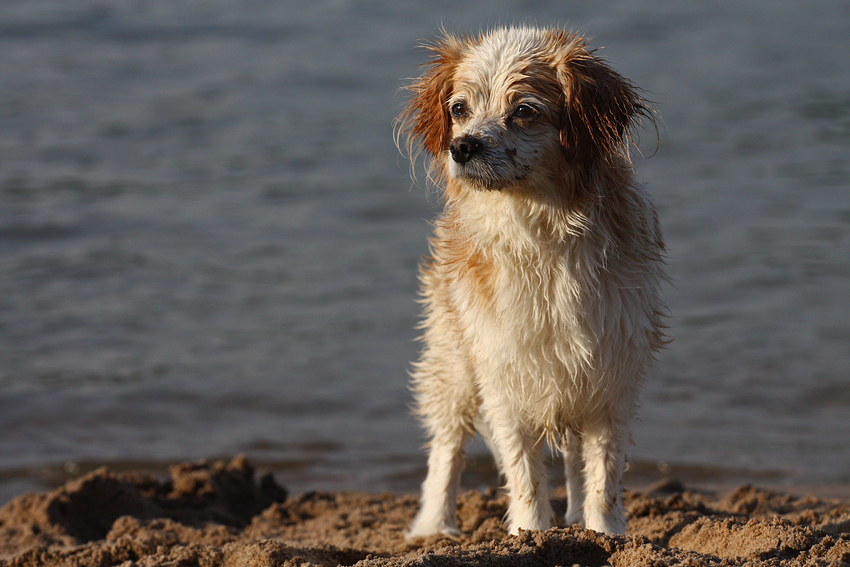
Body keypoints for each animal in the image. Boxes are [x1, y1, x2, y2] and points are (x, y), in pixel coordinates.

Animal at [394, 26, 664, 540]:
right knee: (446, 447)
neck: (539, 228)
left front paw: (605, 534)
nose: (462, 146)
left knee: (576, 457)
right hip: (454, 362)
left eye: (523, 111)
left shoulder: (610, 373)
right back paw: (433, 526)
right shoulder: (503, 373)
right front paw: (531, 533)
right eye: (459, 109)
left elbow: (603, 473)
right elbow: (523, 473)